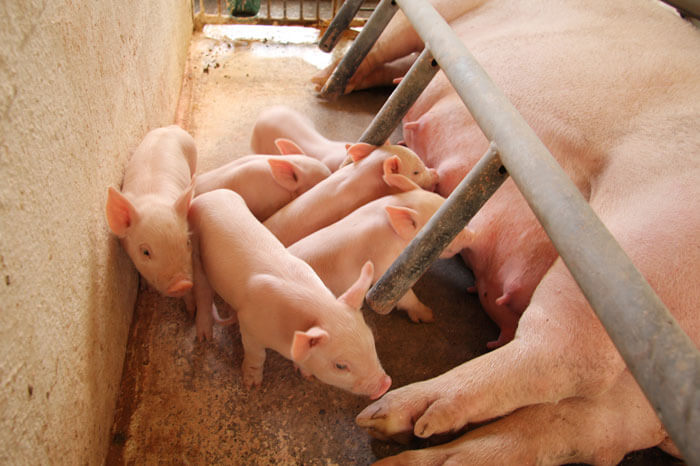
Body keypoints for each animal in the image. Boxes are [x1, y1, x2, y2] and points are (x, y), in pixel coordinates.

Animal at [189, 188, 392, 398]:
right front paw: (252, 384)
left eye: (371, 339)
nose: (386, 384)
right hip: (195, 249)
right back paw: (205, 337)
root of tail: (211, 194)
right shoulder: (249, 325)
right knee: (203, 292)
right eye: (341, 366)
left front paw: (307, 376)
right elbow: (257, 355)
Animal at [314, 0, 700, 463]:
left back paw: (391, 413)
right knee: (586, 425)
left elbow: (388, 38)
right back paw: (412, 448)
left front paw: (322, 82)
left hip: (633, 251)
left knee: (563, 355)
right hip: (639, 383)